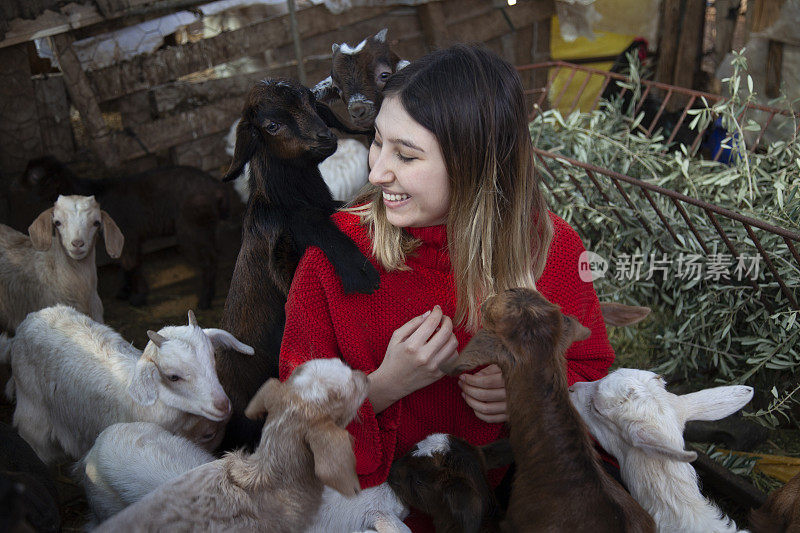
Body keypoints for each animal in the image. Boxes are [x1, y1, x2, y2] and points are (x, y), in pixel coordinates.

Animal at [19, 157, 231, 308]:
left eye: (34, 176)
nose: (17, 185)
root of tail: (217, 189)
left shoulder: (128, 235)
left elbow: (131, 263)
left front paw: (138, 297)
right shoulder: (126, 237)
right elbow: (126, 262)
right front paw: (125, 292)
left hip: (191, 228)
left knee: (208, 260)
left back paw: (204, 301)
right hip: (205, 227)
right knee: (214, 255)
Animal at [216, 79, 382, 448]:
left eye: (312, 102)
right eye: (271, 125)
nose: (325, 137)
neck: (288, 200)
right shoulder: (282, 253)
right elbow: (312, 227)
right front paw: (360, 272)